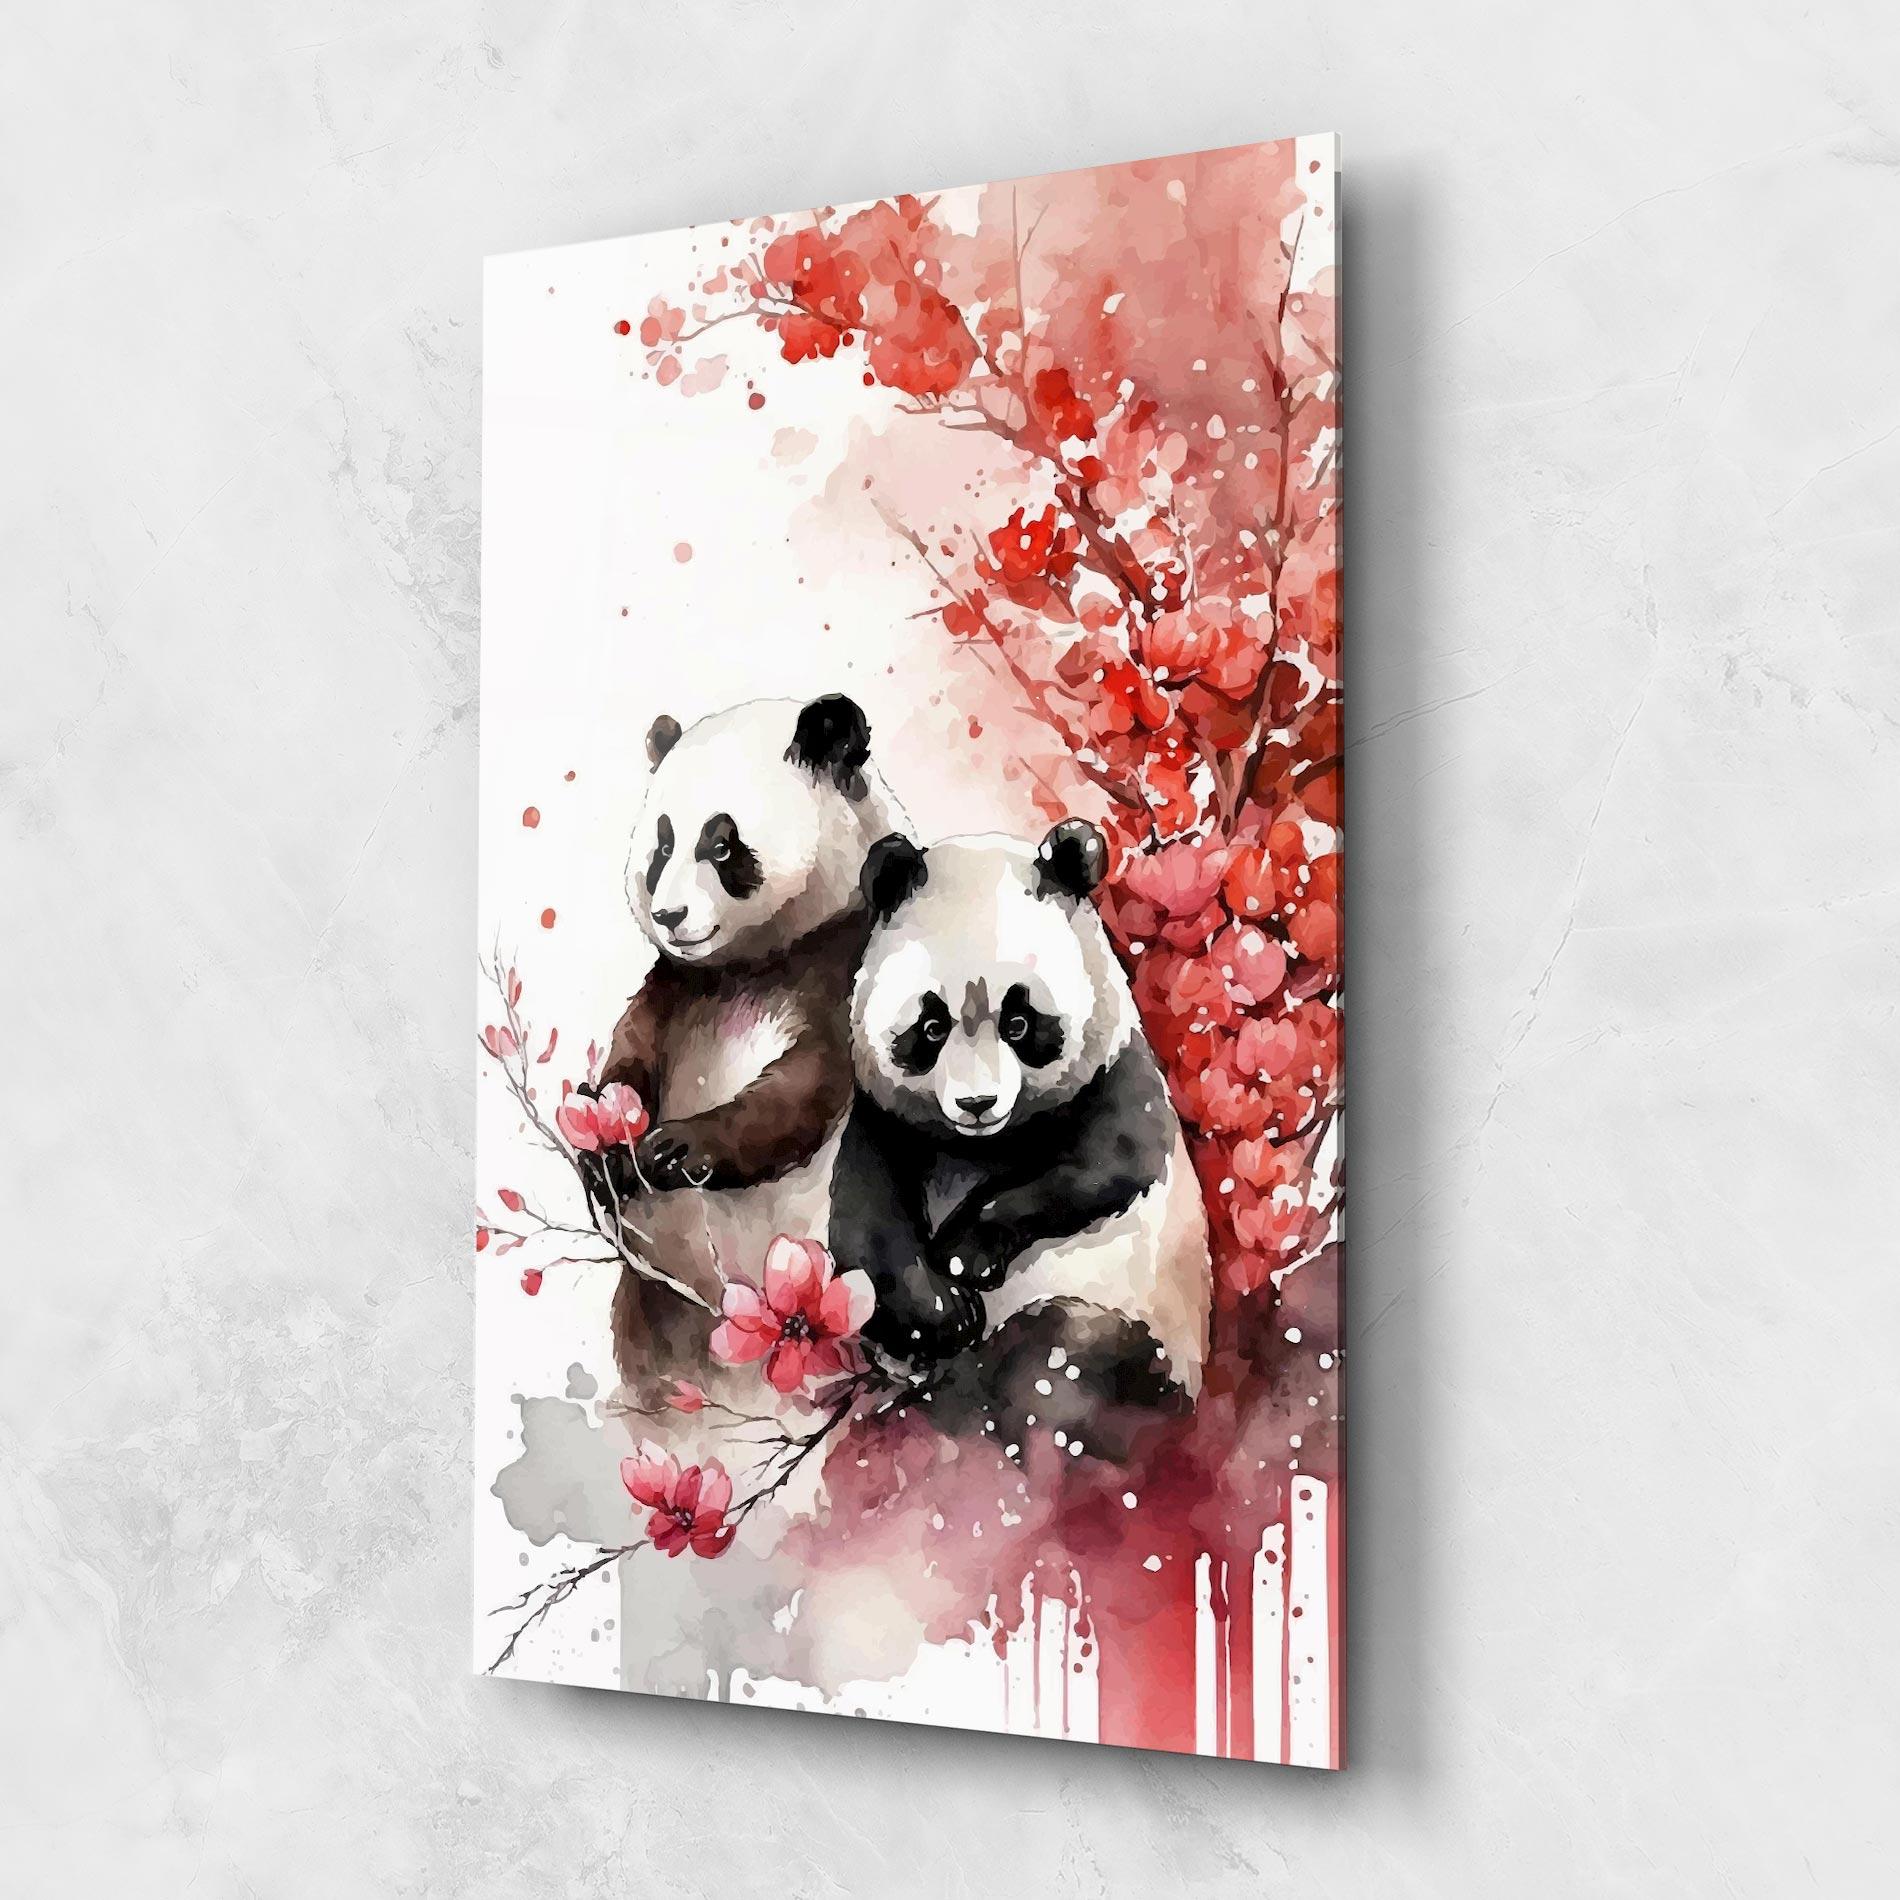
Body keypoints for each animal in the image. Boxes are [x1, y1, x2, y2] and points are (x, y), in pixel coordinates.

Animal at [585, 693, 908, 1397]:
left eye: (722, 843)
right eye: (661, 844)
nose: (670, 916)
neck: (752, 965)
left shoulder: (845, 966)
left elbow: (803, 1089)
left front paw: (676, 1149)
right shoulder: (679, 985)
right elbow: (631, 1047)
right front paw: (605, 1151)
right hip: (653, 1305)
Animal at [827, 817, 1211, 1463]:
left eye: (1019, 1022)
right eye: (931, 1027)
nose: (977, 1104)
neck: (980, 1145)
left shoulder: (1115, 1076)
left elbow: (1101, 1166)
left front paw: (963, 1253)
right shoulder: (886, 1121)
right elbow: (865, 1225)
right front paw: (944, 1310)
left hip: (1132, 1331)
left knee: (1055, 1357)